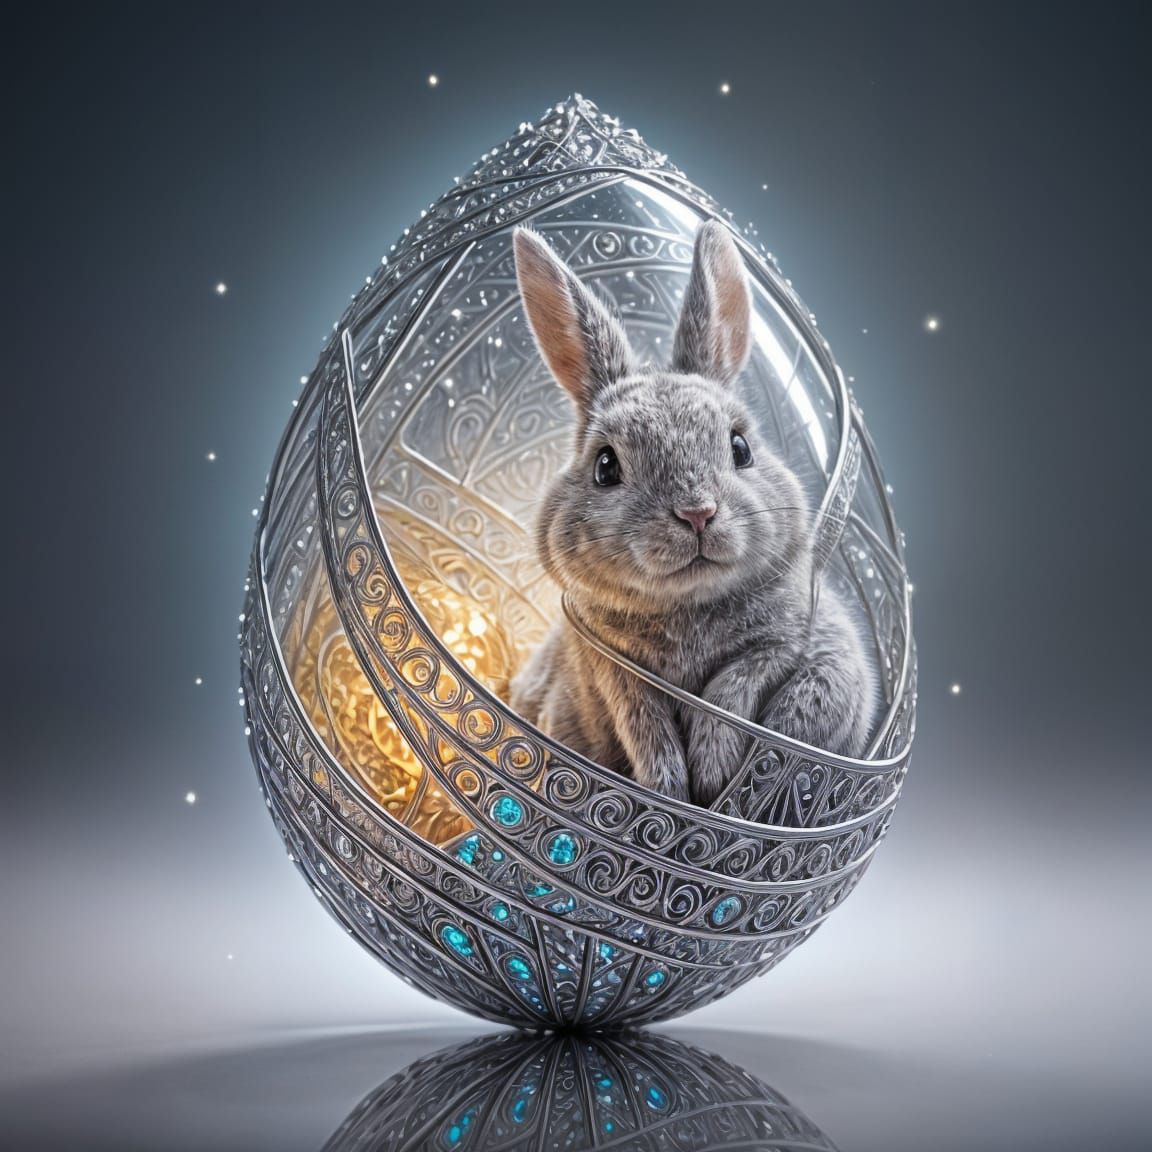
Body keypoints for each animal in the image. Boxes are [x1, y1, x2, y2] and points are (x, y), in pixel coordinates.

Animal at [508, 221, 877, 807]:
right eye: (606, 466)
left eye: (740, 447)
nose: (697, 513)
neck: (687, 605)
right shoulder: (612, 670)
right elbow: (645, 724)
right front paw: (669, 789)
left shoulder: (790, 645)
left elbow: (736, 686)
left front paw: (713, 768)